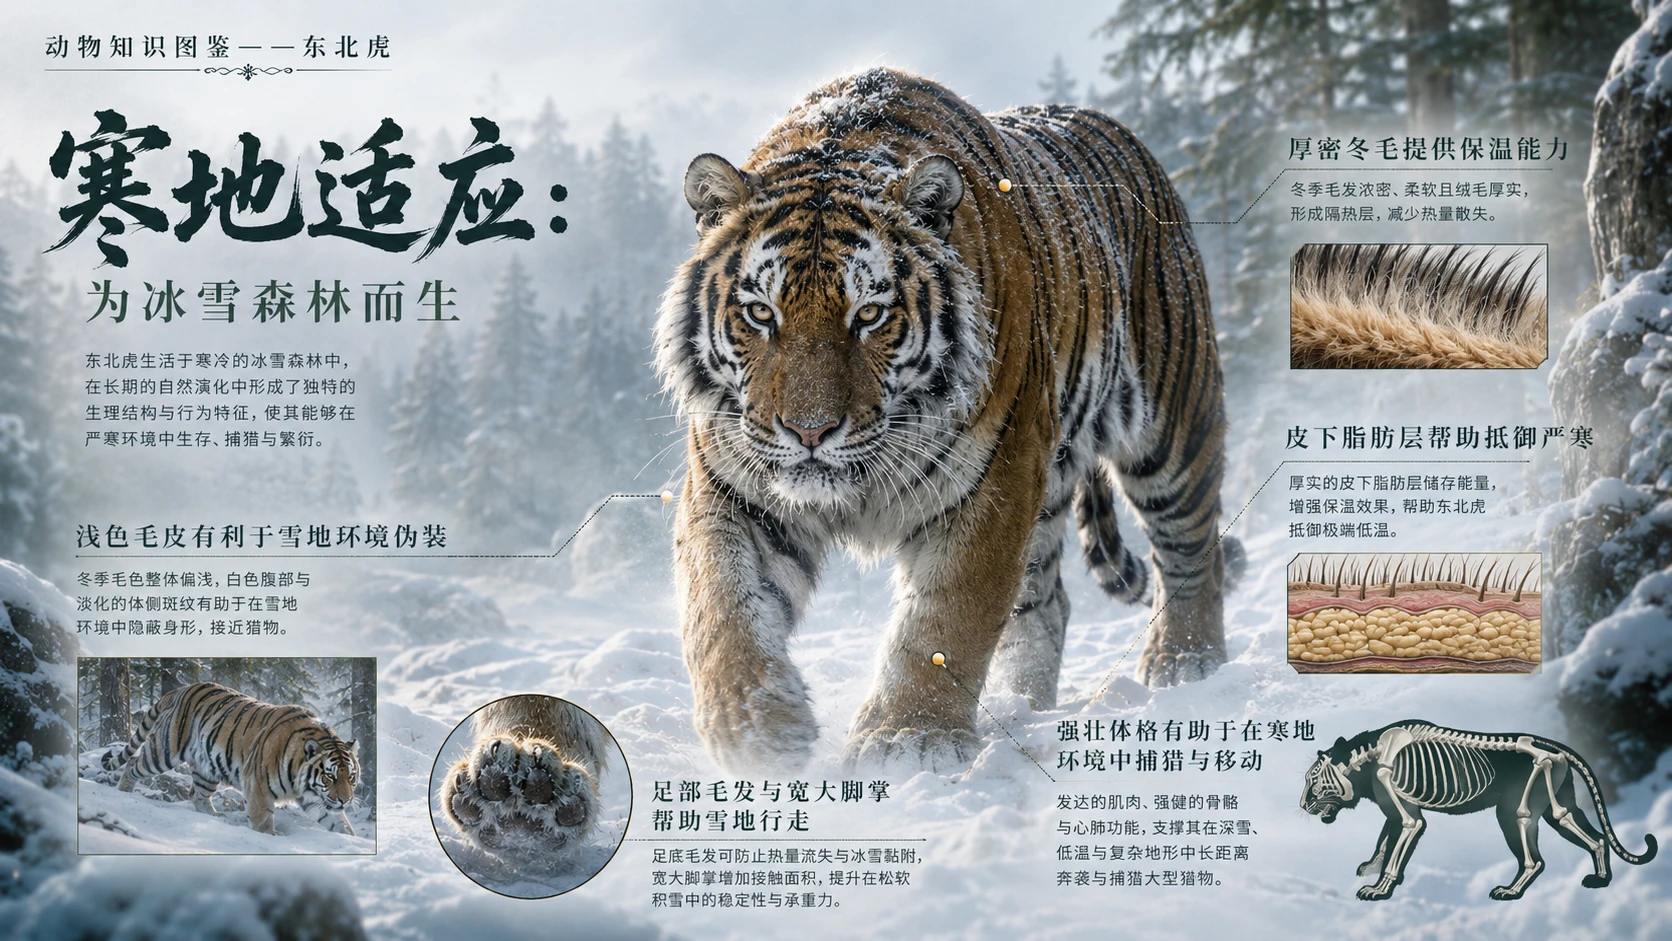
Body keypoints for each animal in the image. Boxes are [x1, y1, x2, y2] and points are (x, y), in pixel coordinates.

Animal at [100, 681, 359, 836]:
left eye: (351, 777)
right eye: (330, 777)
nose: (345, 800)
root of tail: (180, 689)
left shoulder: (318, 799)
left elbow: (340, 823)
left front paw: (351, 841)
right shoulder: (258, 786)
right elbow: (263, 819)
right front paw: (271, 835)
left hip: (207, 769)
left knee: (199, 796)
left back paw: (216, 816)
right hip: (165, 751)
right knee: (134, 764)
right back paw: (124, 792)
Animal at [654, 67, 1240, 774]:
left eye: (870, 315)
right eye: (761, 313)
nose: (810, 431)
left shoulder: (993, 481)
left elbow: (946, 619)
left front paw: (908, 740)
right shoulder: (734, 488)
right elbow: (721, 607)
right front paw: (758, 728)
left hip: (1171, 427)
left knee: (1193, 550)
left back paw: (1185, 664)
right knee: (1046, 607)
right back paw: (1023, 707)